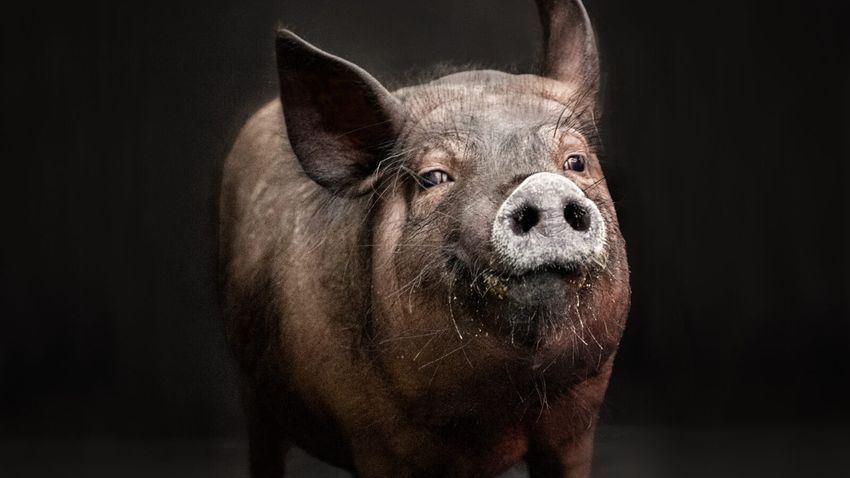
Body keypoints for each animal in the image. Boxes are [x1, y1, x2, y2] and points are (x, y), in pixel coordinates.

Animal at [219, 1, 630, 476]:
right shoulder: (374, 442)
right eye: (434, 176)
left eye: (576, 161)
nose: (542, 186)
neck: (503, 409)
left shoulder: (575, 425)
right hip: (250, 388)